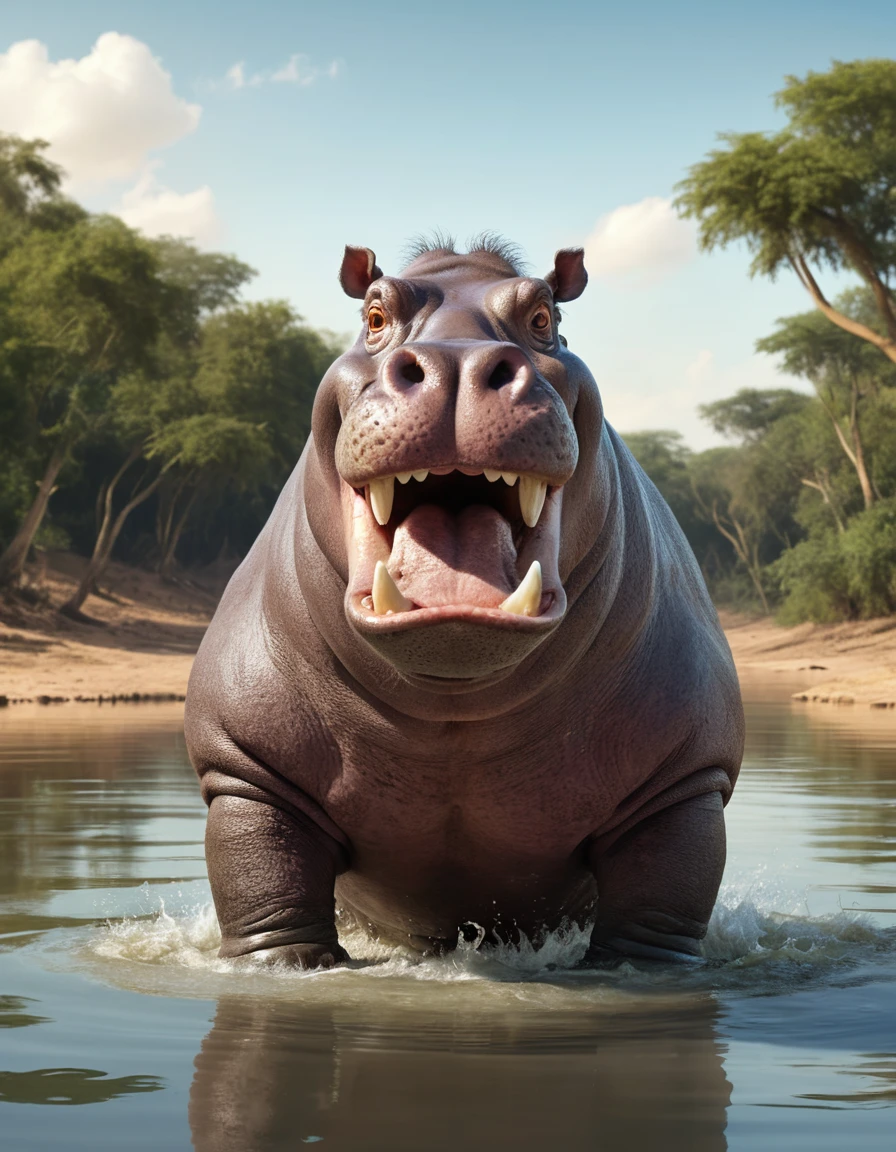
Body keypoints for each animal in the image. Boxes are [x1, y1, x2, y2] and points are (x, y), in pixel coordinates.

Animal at [185, 235, 744, 969]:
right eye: (373, 315)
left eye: (544, 316)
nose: (456, 363)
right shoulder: (246, 771)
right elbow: (269, 909)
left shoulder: (683, 782)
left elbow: (655, 923)